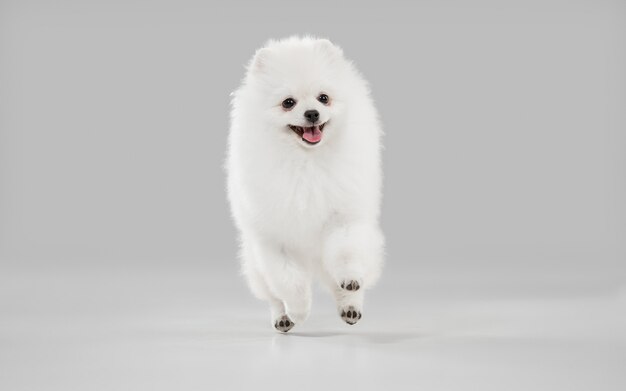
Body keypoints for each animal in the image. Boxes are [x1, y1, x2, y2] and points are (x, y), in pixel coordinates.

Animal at [224, 36, 380, 332]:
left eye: (323, 98)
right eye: (288, 102)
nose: (312, 113)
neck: (306, 161)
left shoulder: (344, 218)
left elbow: (347, 255)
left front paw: (350, 281)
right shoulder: (274, 241)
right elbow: (289, 282)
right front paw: (299, 311)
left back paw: (350, 307)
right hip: (255, 267)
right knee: (273, 296)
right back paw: (283, 318)